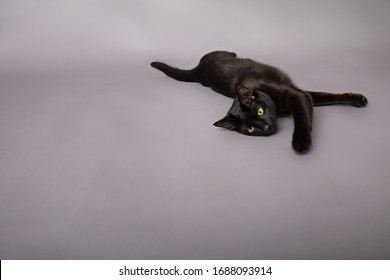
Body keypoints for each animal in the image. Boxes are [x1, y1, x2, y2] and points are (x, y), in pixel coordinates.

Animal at [151, 52, 368, 153]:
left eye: (260, 112)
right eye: (251, 129)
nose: (266, 127)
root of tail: (199, 71)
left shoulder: (300, 96)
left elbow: (309, 111)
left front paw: (300, 143)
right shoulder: (304, 96)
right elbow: (318, 102)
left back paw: (236, 53)